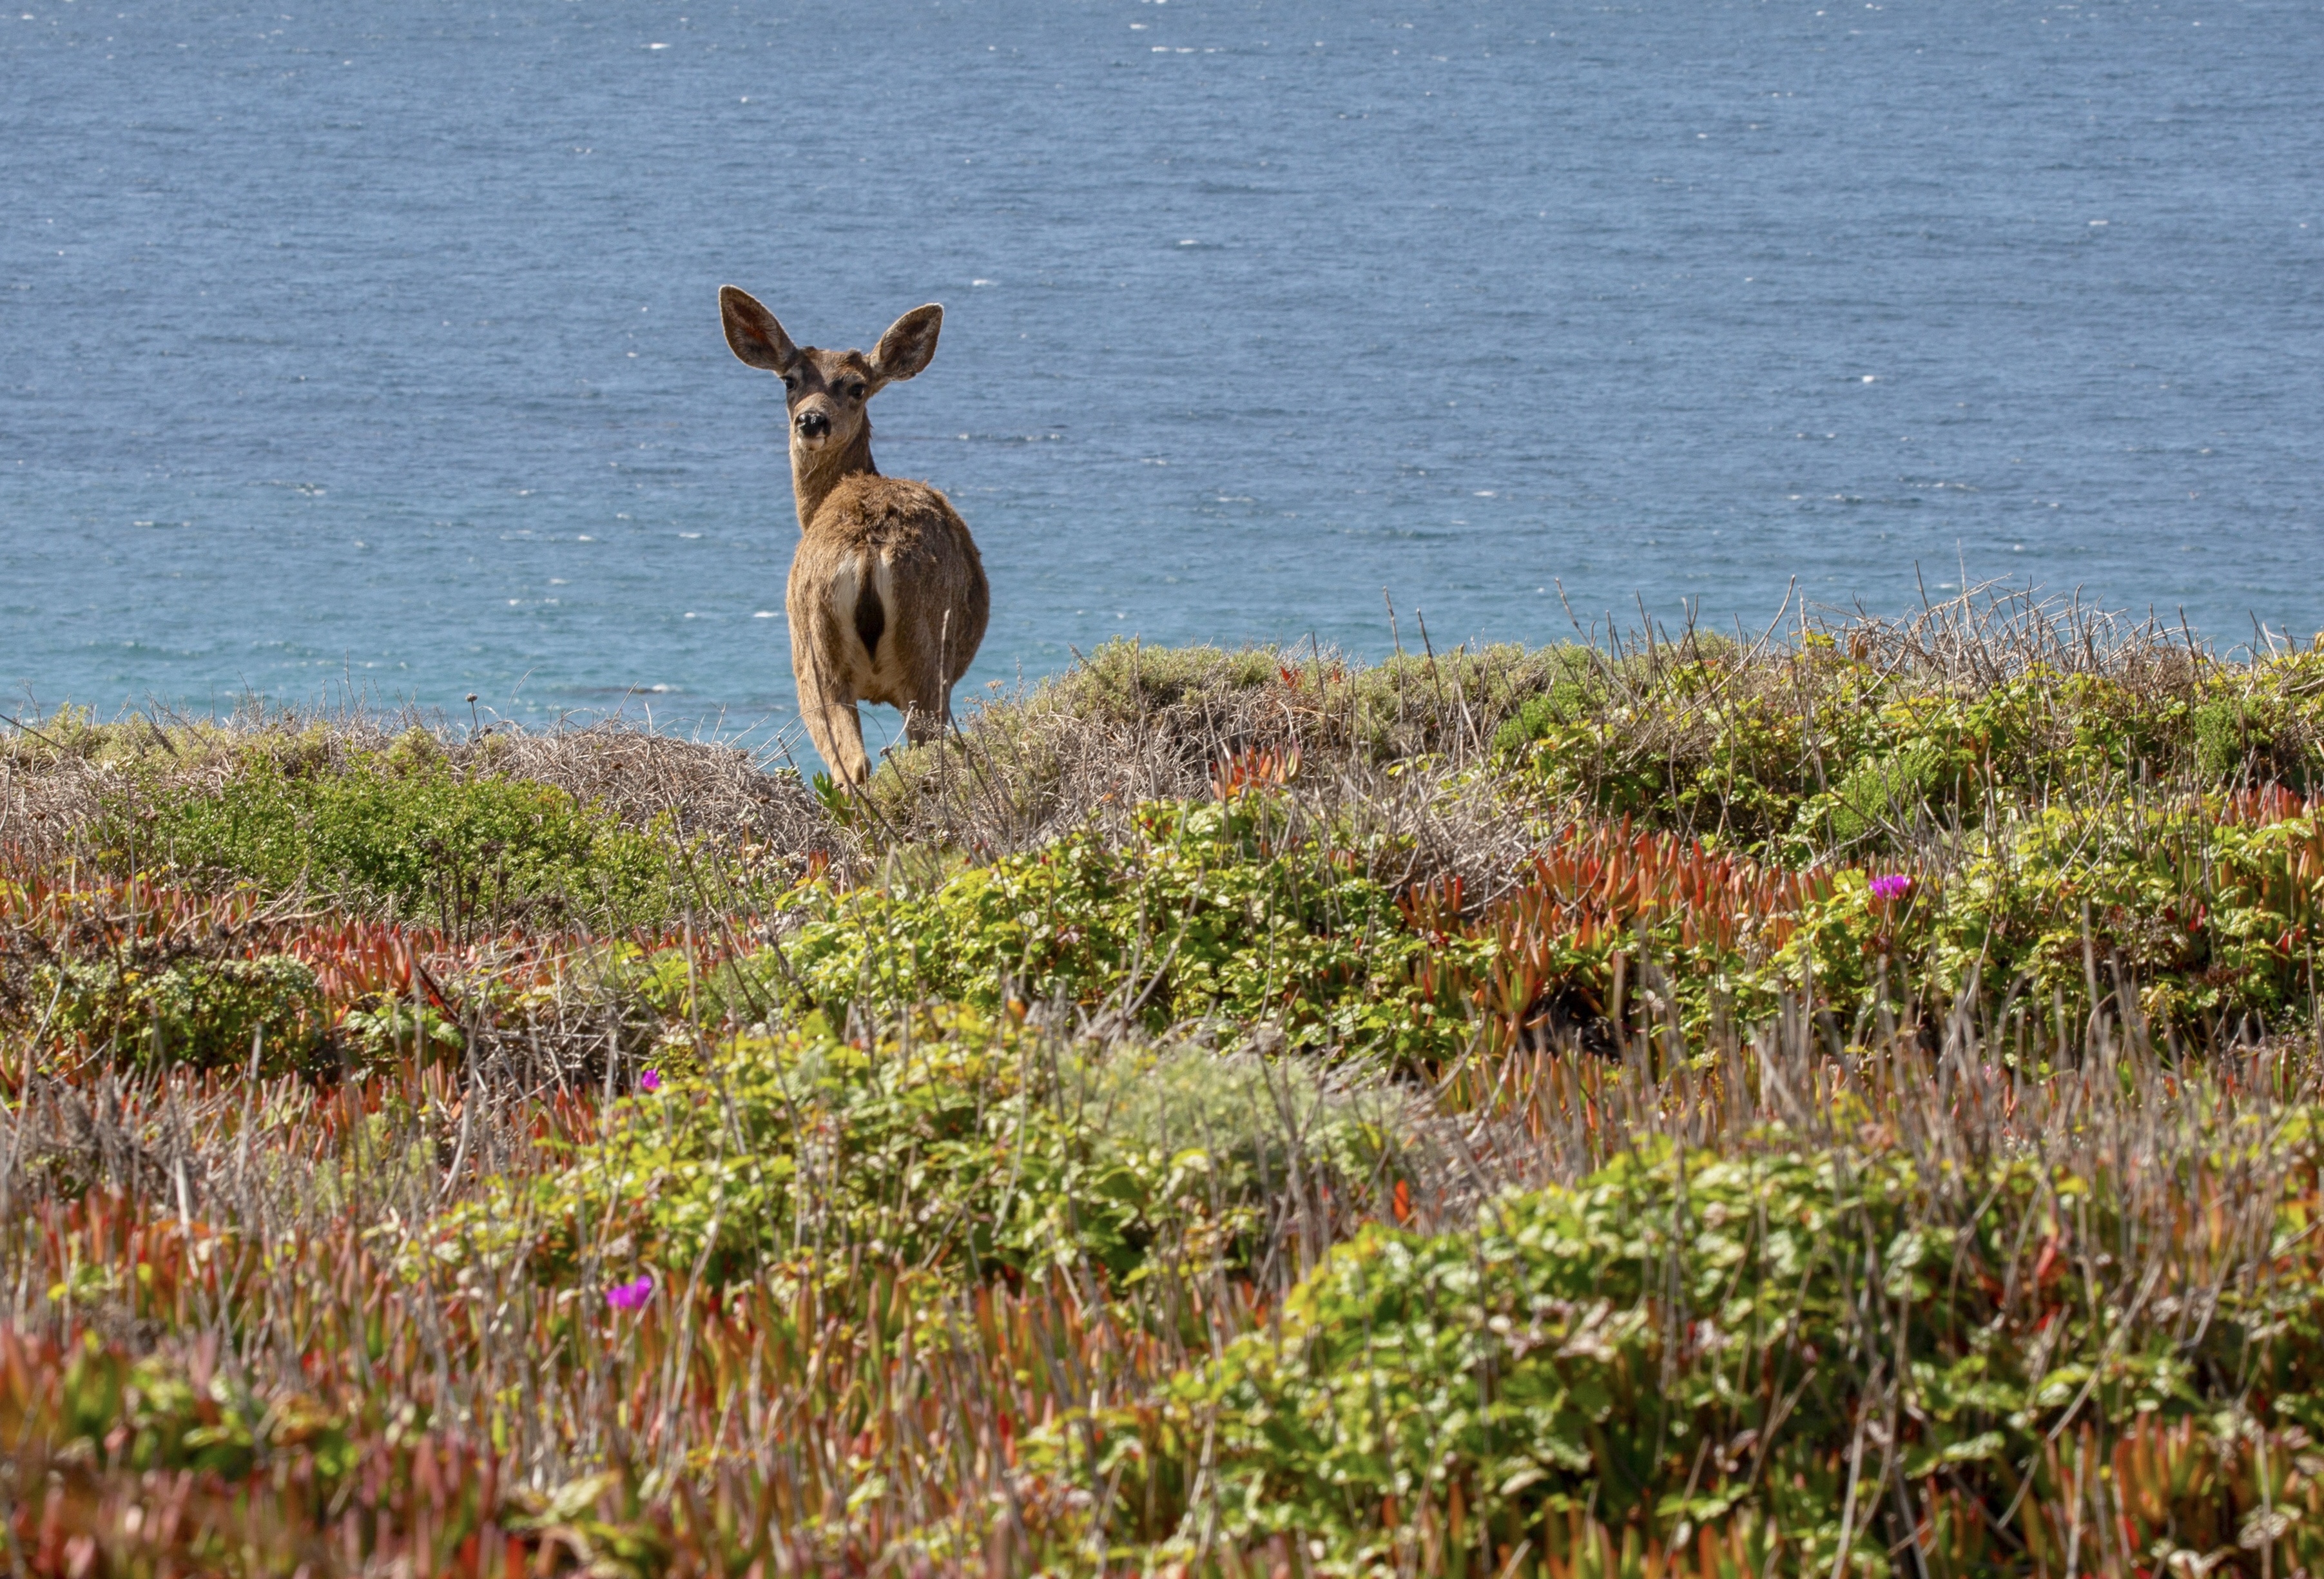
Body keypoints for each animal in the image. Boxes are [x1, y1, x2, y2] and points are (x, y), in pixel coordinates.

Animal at [718, 285, 991, 789]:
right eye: (789, 381)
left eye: (857, 387)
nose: (811, 421)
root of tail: (868, 548)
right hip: (907, 655)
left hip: (815, 648)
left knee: (855, 762)